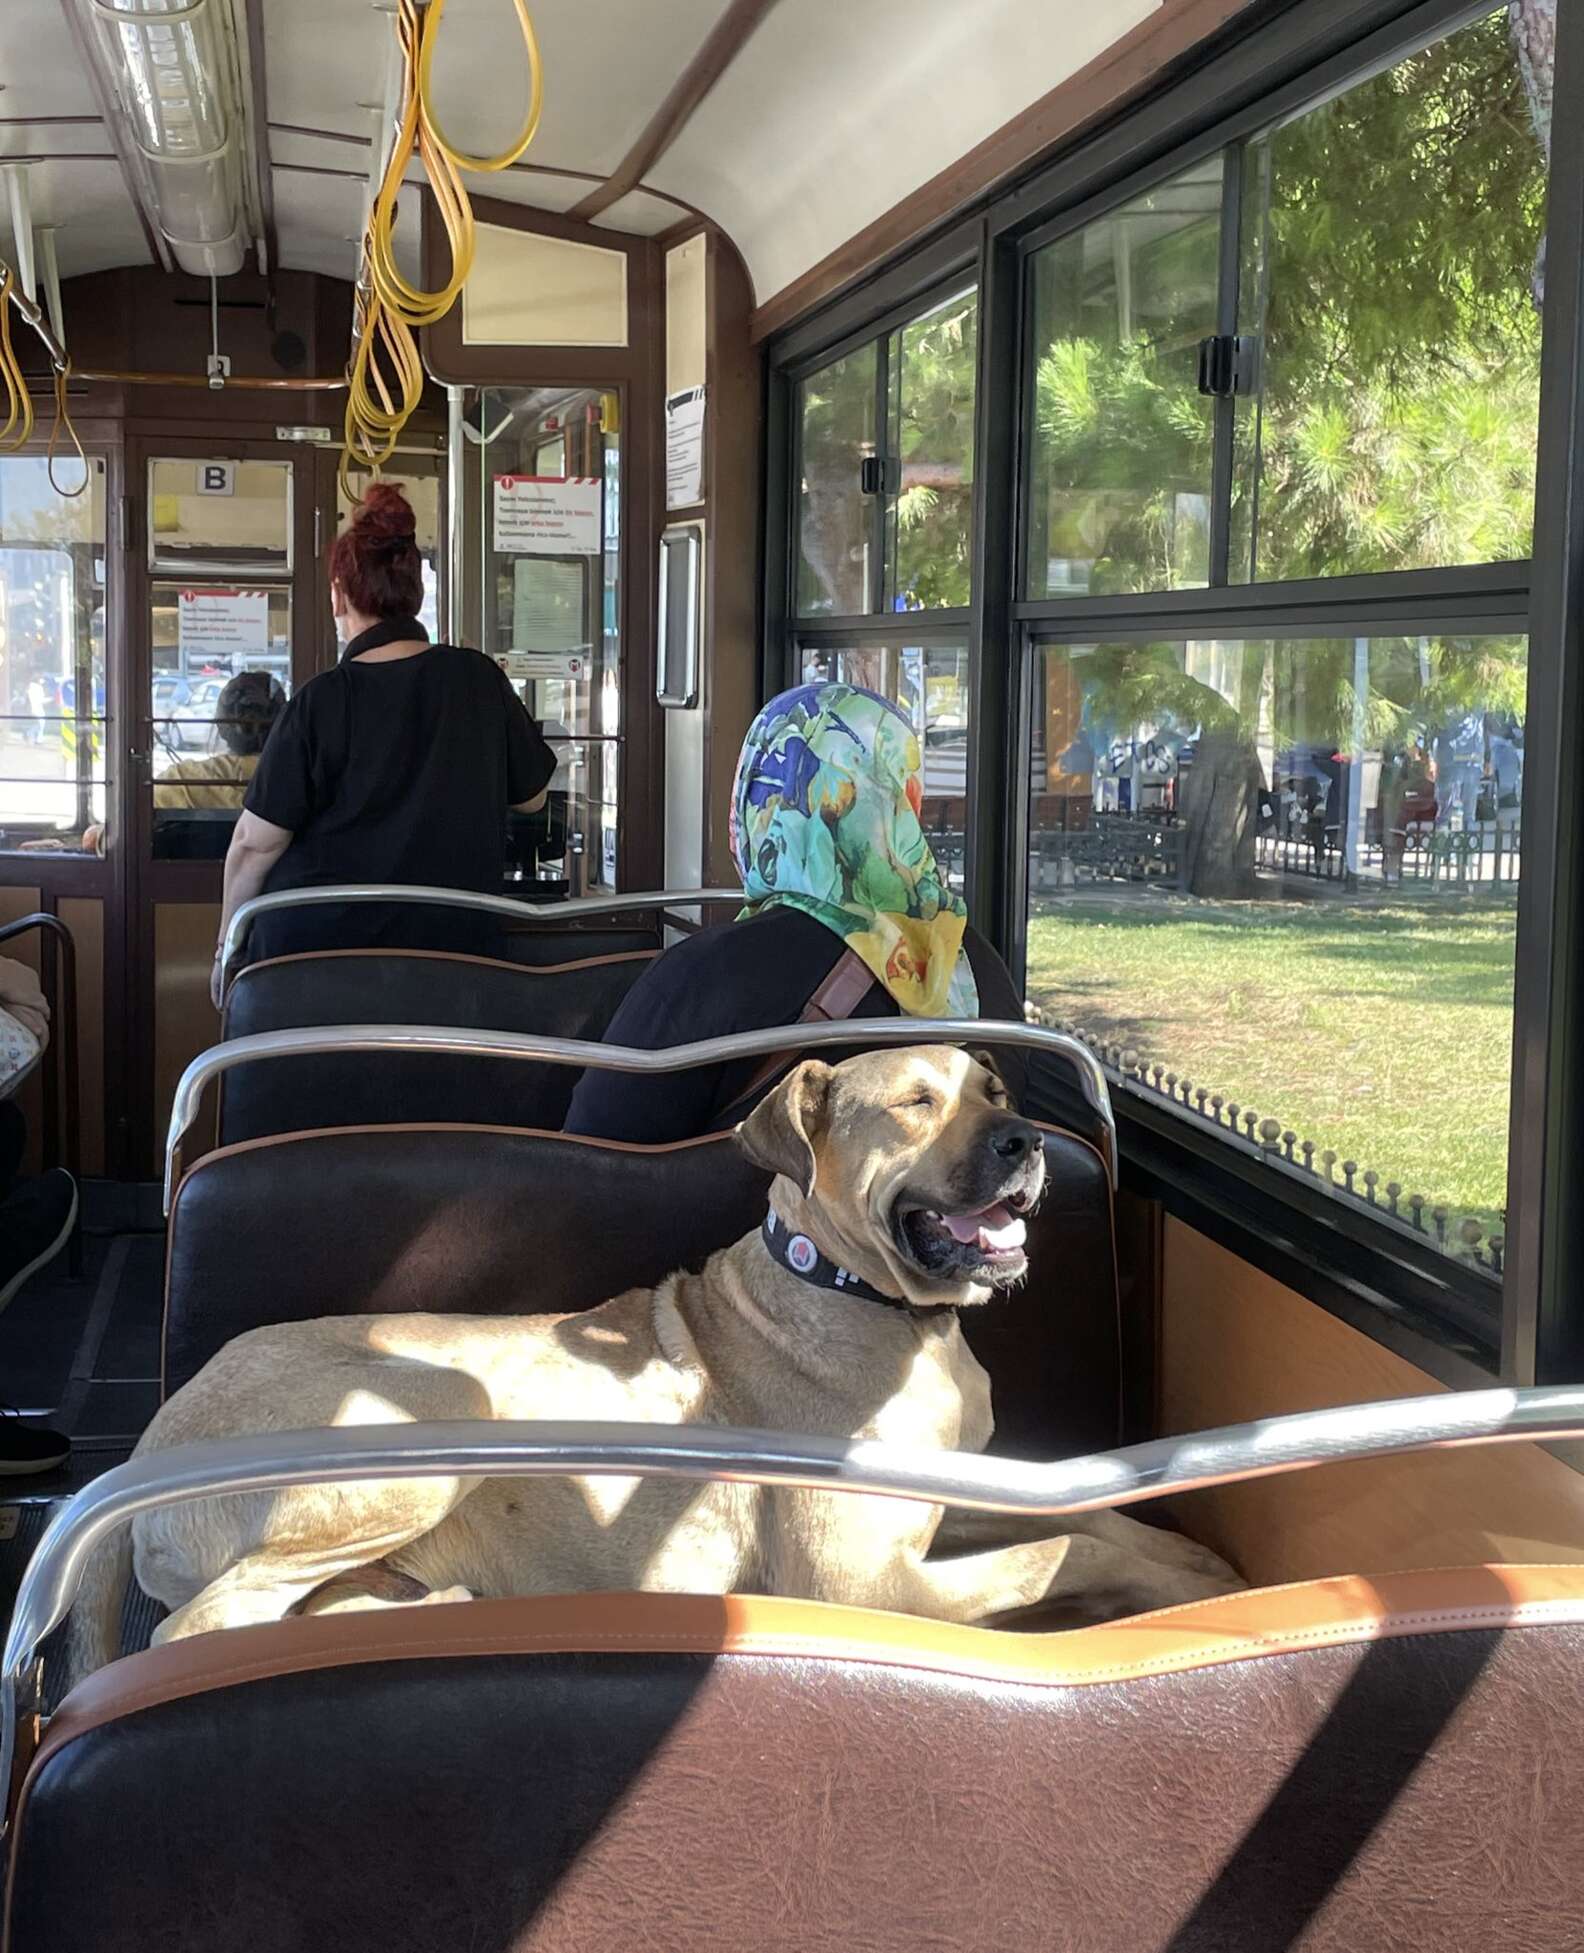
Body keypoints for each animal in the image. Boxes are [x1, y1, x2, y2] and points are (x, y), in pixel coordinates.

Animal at [71, 1046, 1242, 1671]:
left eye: (993, 1092)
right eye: (916, 1102)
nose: (1026, 1140)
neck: (868, 1298)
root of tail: (152, 1439)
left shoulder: (946, 1501)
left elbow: (1092, 1519)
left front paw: (1195, 1566)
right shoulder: (864, 1578)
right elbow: (1061, 1549)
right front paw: (1150, 1580)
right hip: (429, 1430)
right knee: (198, 1626)